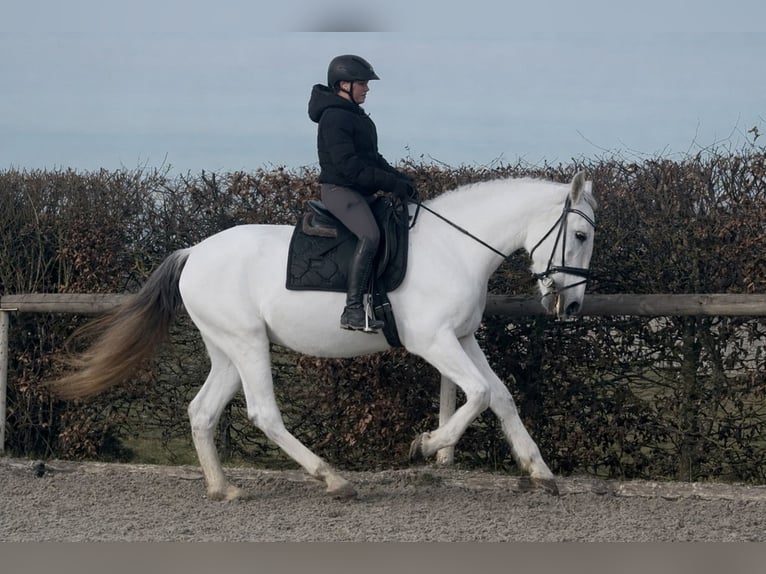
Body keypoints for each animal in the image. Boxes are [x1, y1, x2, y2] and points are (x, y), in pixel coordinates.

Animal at [49, 171, 597, 500]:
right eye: (581, 235)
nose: (570, 306)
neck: (455, 248)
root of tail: (194, 252)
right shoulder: (433, 342)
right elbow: (479, 392)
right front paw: (425, 444)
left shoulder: (462, 339)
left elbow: (499, 395)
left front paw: (540, 471)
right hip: (248, 343)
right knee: (263, 412)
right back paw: (332, 479)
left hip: (227, 349)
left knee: (203, 411)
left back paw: (224, 488)